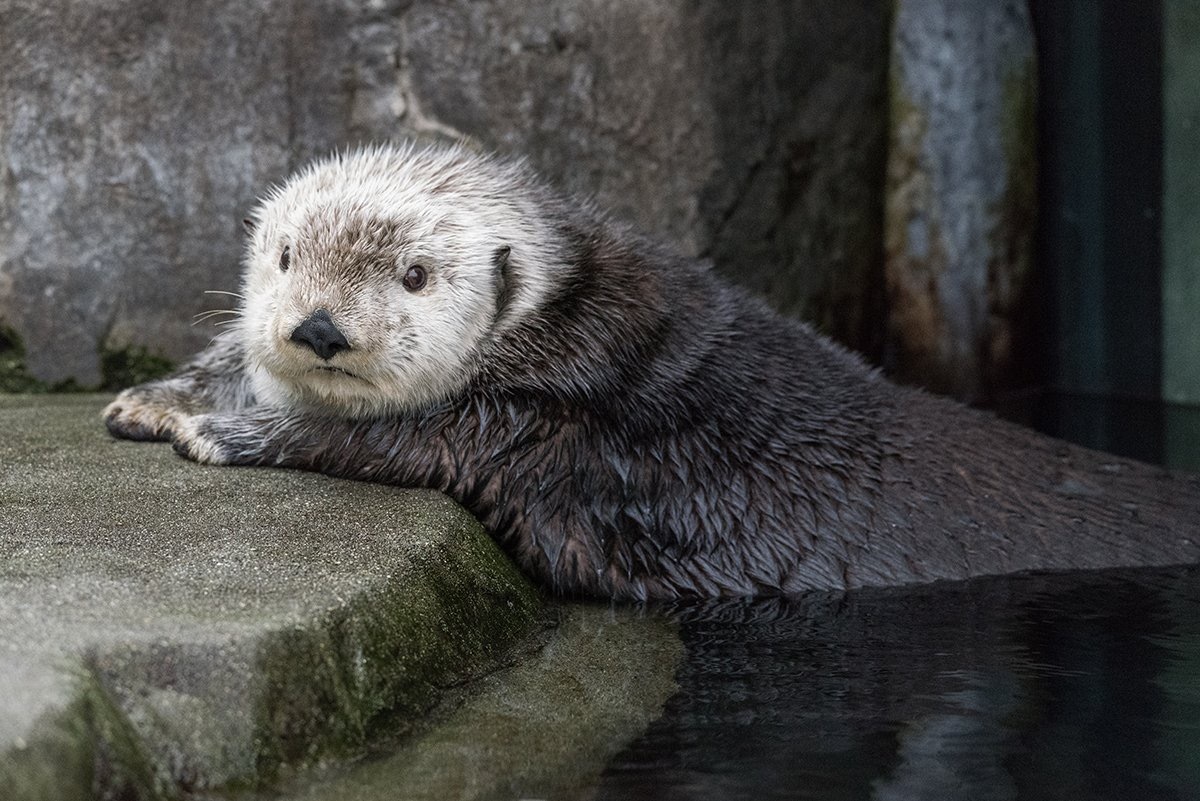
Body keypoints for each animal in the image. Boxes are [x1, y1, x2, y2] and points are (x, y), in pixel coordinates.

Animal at [103, 142, 1200, 599]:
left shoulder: (548, 421)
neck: (569, 319)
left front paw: (224, 429)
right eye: (287, 256)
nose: (320, 328)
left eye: (413, 275)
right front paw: (157, 396)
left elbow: (406, 444)